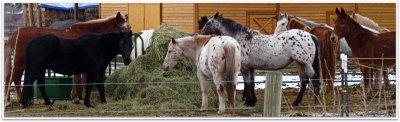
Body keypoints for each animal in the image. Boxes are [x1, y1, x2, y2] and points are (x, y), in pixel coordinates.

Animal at [3, 11, 131, 106]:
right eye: (123, 28)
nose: (130, 34)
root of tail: (15, 34)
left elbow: (77, 79)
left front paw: (76, 98)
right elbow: (82, 80)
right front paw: (80, 98)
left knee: (17, 79)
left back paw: (22, 100)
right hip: (19, 63)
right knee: (10, 79)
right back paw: (8, 101)